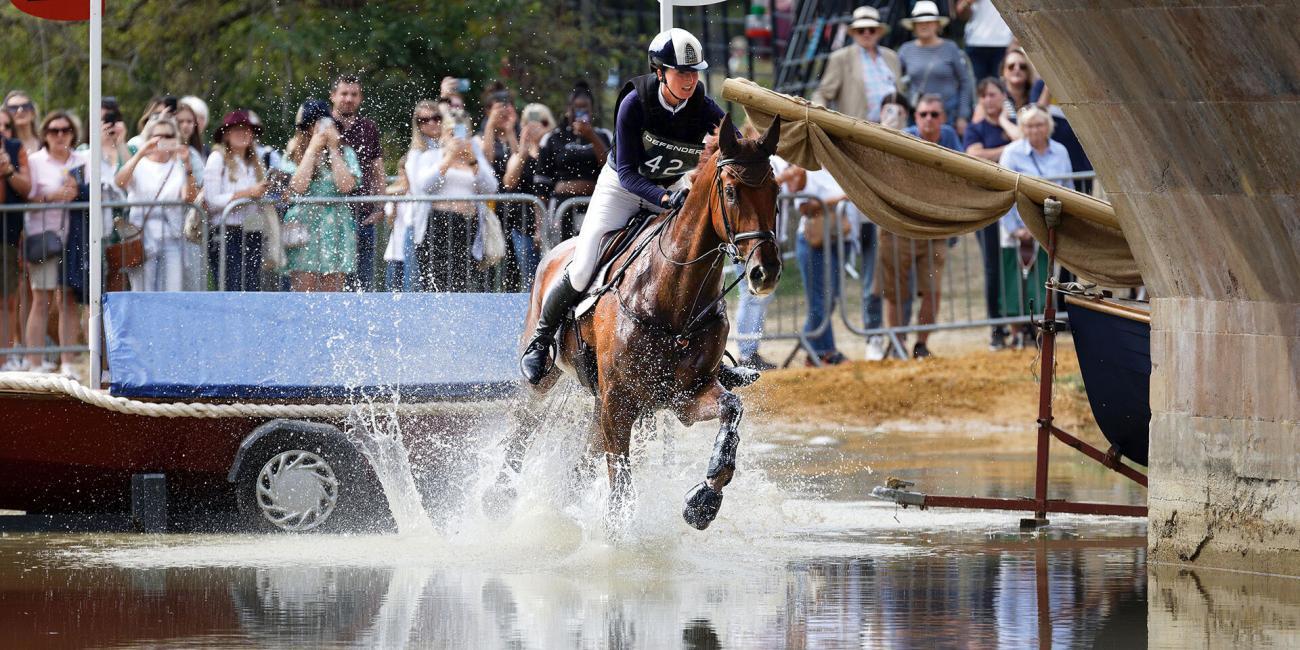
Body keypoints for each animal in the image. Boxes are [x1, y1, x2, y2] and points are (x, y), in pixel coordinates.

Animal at [483, 115, 774, 533]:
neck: (674, 298)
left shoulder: (686, 397)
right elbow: (620, 484)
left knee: (583, 455)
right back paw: (499, 496)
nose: (765, 271)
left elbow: (731, 411)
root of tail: (554, 250)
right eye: (732, 192)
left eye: (776, 191)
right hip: (552, 375)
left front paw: (703, 501)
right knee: (525, 424)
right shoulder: (619, 401)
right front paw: (617, 539)